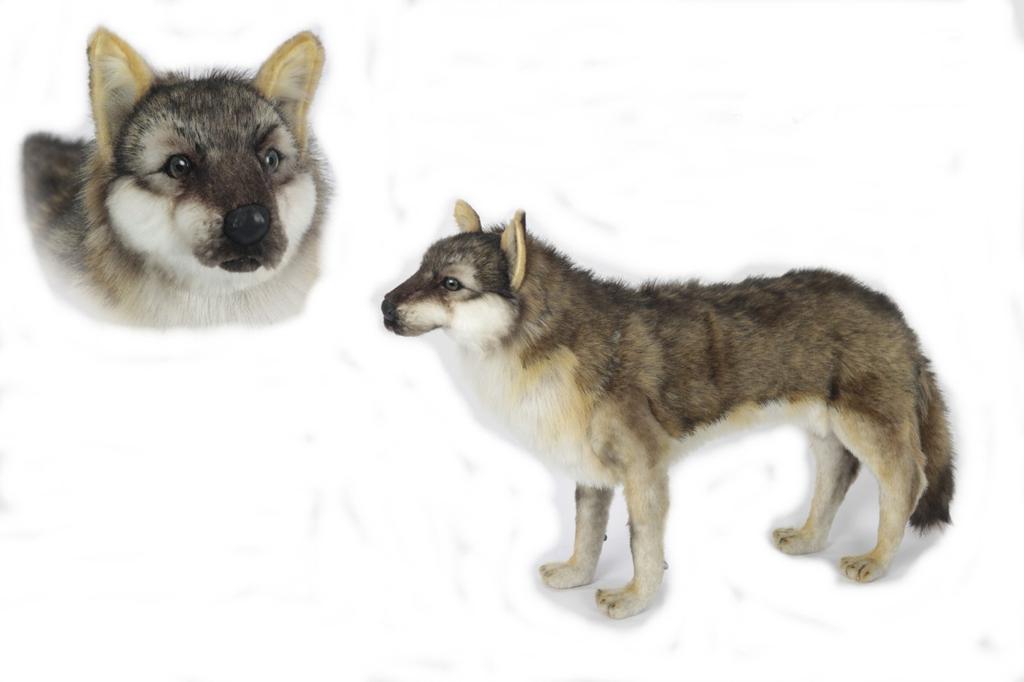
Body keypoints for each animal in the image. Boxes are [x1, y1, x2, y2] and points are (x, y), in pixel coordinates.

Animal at [382, 200, 955, 619]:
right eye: (420, 269)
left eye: (450, 284)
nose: (384, 307)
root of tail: (896, 314)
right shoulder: (591, 473)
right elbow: (587, 535)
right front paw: (576, 575)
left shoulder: (645, 469)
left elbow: (643, 545)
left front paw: (636, 598)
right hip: (826, 430)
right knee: (837, 476)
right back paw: (810, 538)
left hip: (868, 429)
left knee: (907, 481)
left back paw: (877, 559)